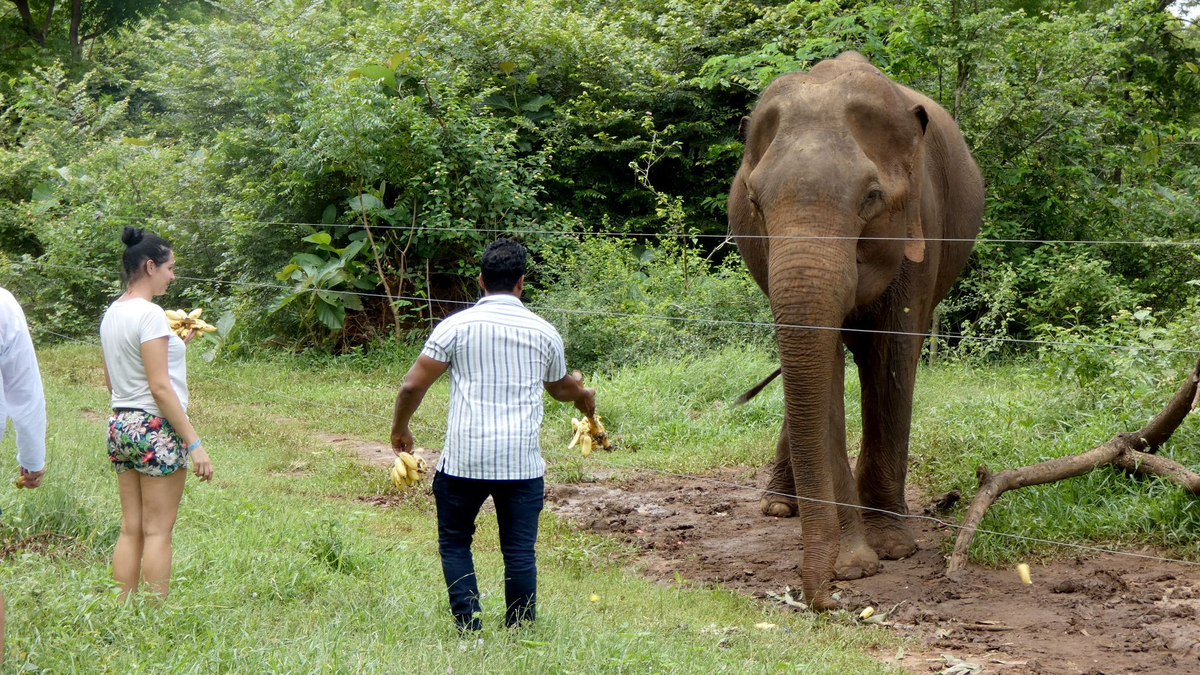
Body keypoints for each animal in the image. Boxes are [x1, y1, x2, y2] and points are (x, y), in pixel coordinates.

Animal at [728, 52, 984, 609]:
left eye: (871, 197)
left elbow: (890, 357)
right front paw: (855, 565)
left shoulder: (920, 223)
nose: (823, 598)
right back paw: (778, 509)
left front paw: (893, 550)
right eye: (754, 203)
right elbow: (823, 371)